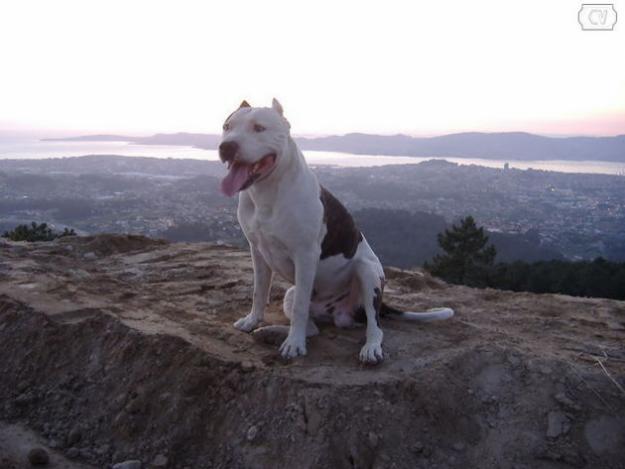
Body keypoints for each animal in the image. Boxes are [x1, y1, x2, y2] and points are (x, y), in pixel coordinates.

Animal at [217, 98, 450, 362]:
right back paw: (275, 332)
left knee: (374, 325)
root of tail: (338, 312)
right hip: (292, 293)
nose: (226, 147)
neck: (266, 193)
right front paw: (253, 321)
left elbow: (299, 307)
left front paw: (295, 345)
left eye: (259, 128)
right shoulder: (257, 251)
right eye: (227, 126)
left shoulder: (305, 255)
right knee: (311, 326)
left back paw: (369, 347)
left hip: (368, 273)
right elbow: (259, 291)